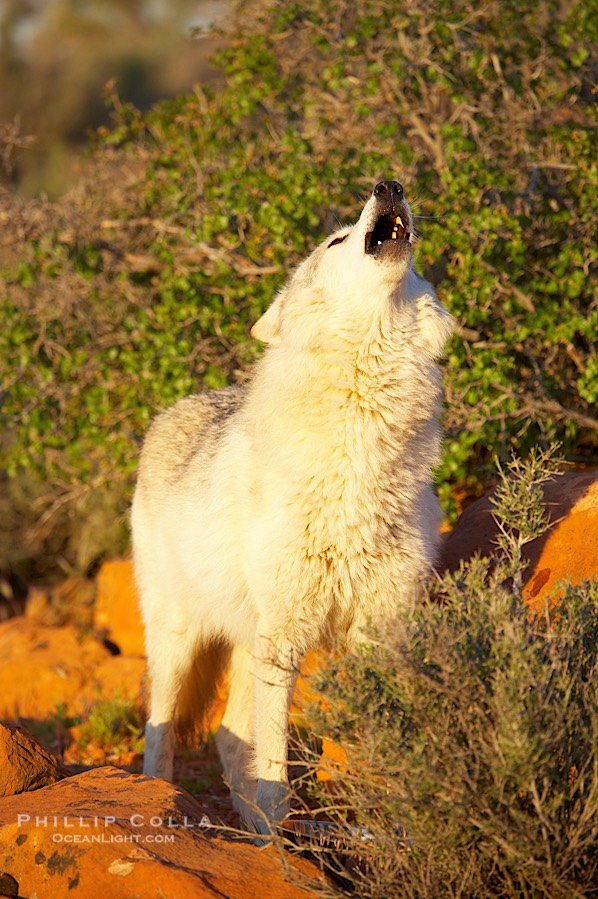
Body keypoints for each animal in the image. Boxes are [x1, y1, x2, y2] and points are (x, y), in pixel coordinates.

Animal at [132, 180, 454, 834]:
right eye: (335, 240)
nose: (389, 185)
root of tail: (169, 411)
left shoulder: (379, 629)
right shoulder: (285, 634)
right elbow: (277, 760)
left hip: (244, 640)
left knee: (229, 737)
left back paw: (256, 831)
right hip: (180, 637)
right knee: (163, 733)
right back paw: (172, 804)